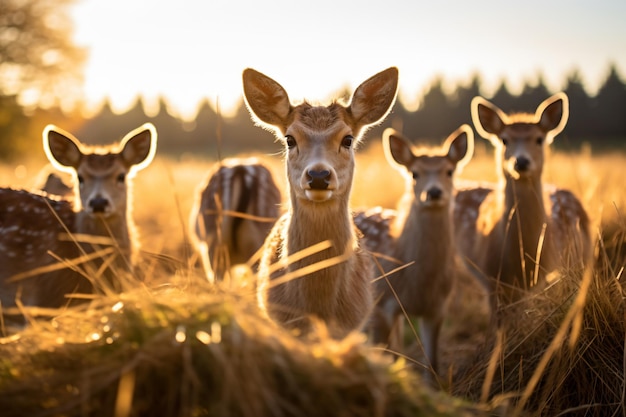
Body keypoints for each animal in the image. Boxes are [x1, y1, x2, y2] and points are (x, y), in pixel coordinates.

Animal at [354, 125, 470, 382]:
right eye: (415, 173)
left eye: (449, 171)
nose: (434, 192)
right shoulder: (381, 304)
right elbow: (386, 357)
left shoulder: (437, 309)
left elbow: (432, 364)